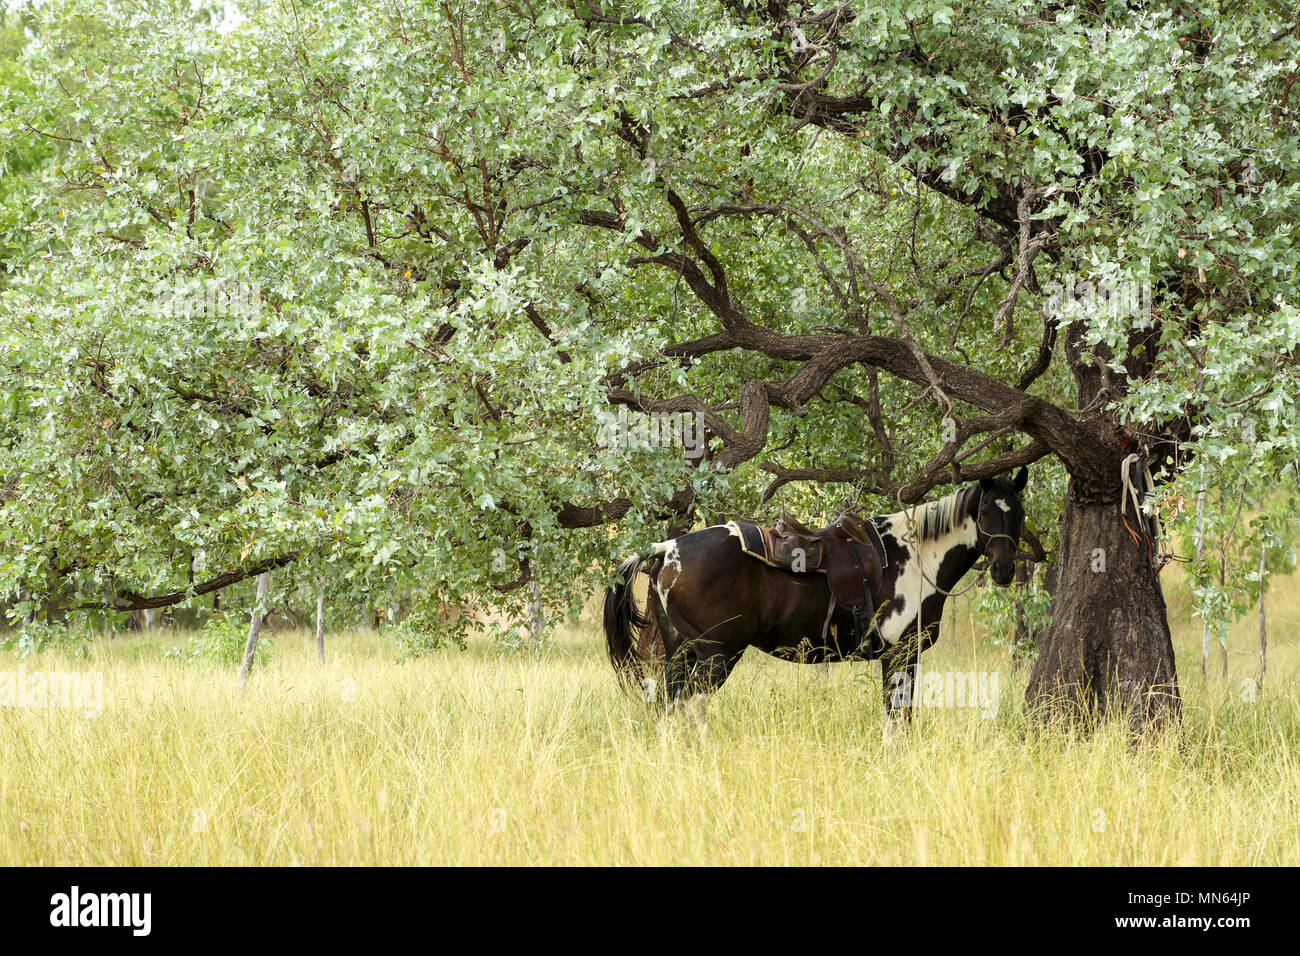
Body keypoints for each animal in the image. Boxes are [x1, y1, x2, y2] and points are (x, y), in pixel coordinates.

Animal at [603, 469, 1028, 719]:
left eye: (1019, 513)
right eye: (986, 512)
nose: (1005, 570)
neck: (914, 556)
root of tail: (666, 548)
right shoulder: (899, 654)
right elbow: (897, 719)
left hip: (682, 653)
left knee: (668, 708)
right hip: (715, 655)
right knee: (689, 708)